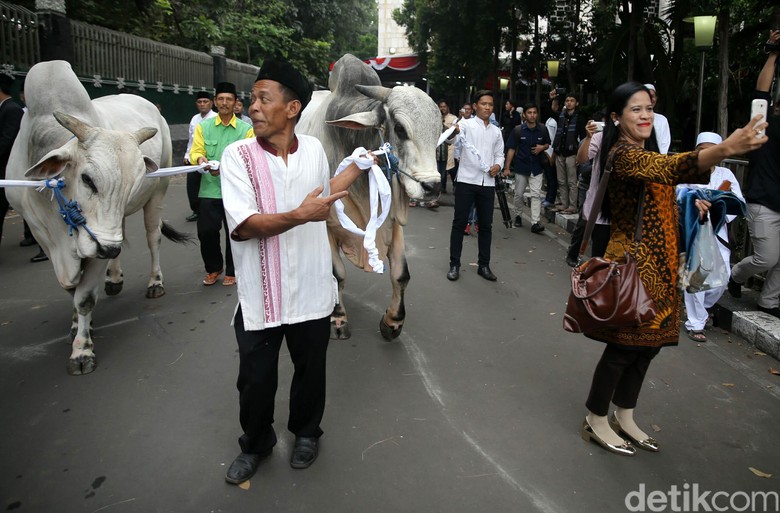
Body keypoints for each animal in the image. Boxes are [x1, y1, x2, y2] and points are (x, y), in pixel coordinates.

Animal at [6, 60, 188, 374]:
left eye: (134, 182)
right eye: (88, 179)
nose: (107, 248)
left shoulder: (95, 245)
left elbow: (85, 298)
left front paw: (82, 351)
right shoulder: (44, 235)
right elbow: (71, 289)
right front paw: (76, 327)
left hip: (157, 193)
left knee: (152, 238)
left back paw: (154, 282)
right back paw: (114, 277)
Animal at [298, 54, 442, 340]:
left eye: (438, 129)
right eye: (399, 128)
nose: (432, 187)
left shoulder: (393, 223)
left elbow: (401, 274)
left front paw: (392, 322)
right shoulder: (325, 222)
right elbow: (337, 274)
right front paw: (338, 317)